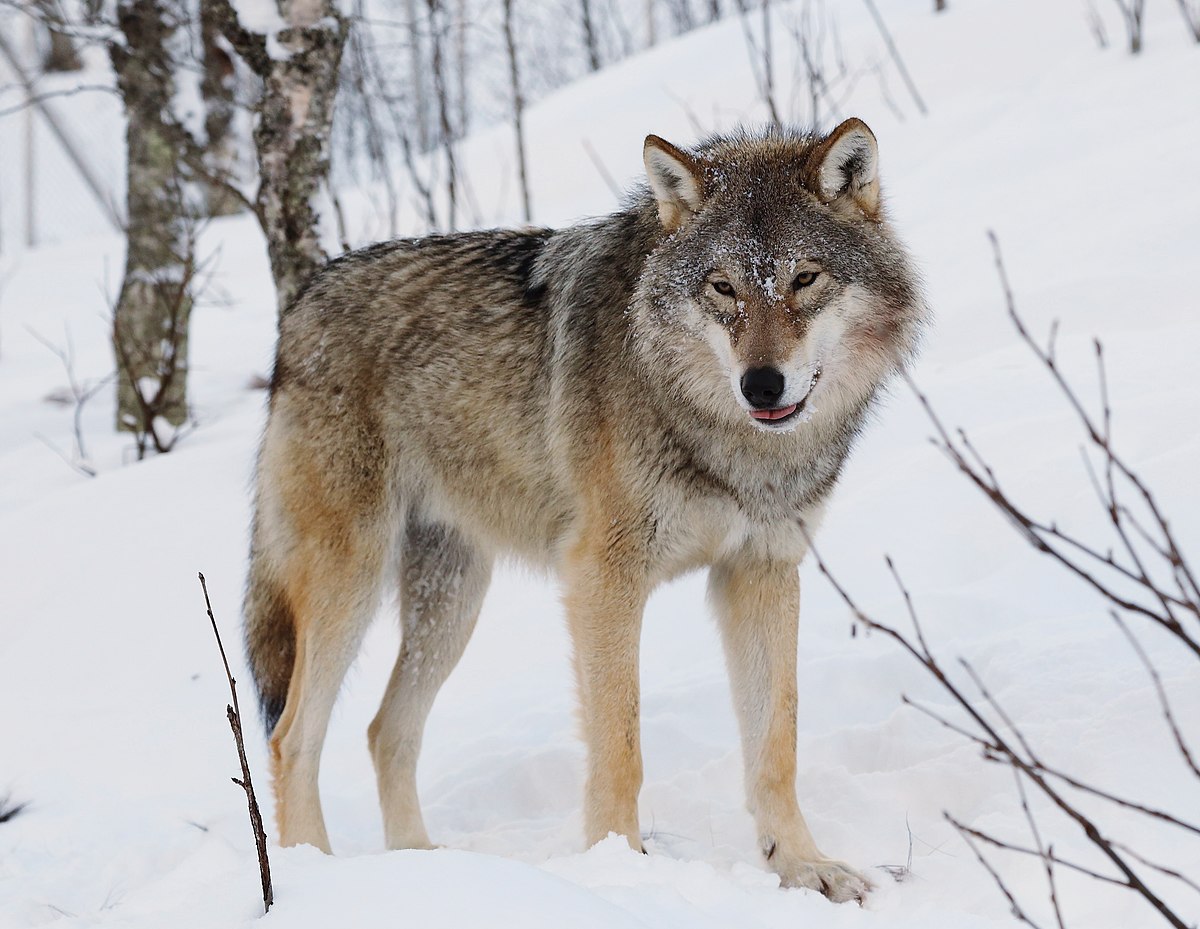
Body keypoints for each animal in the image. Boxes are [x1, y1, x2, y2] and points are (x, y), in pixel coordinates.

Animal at [243, 116, 926, 902]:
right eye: (722, 288)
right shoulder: (604, 577)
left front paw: (802, 866)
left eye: (804, 279)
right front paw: (620, 870)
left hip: (452, 602)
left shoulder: (760, 572)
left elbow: (775, 744)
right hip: (349, 585)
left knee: (386, 731)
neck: (724, 439)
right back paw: (314, 875)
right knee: (292, 736)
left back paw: (427, 868)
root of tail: (301, 303)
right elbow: (620, 746)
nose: (761, 384)